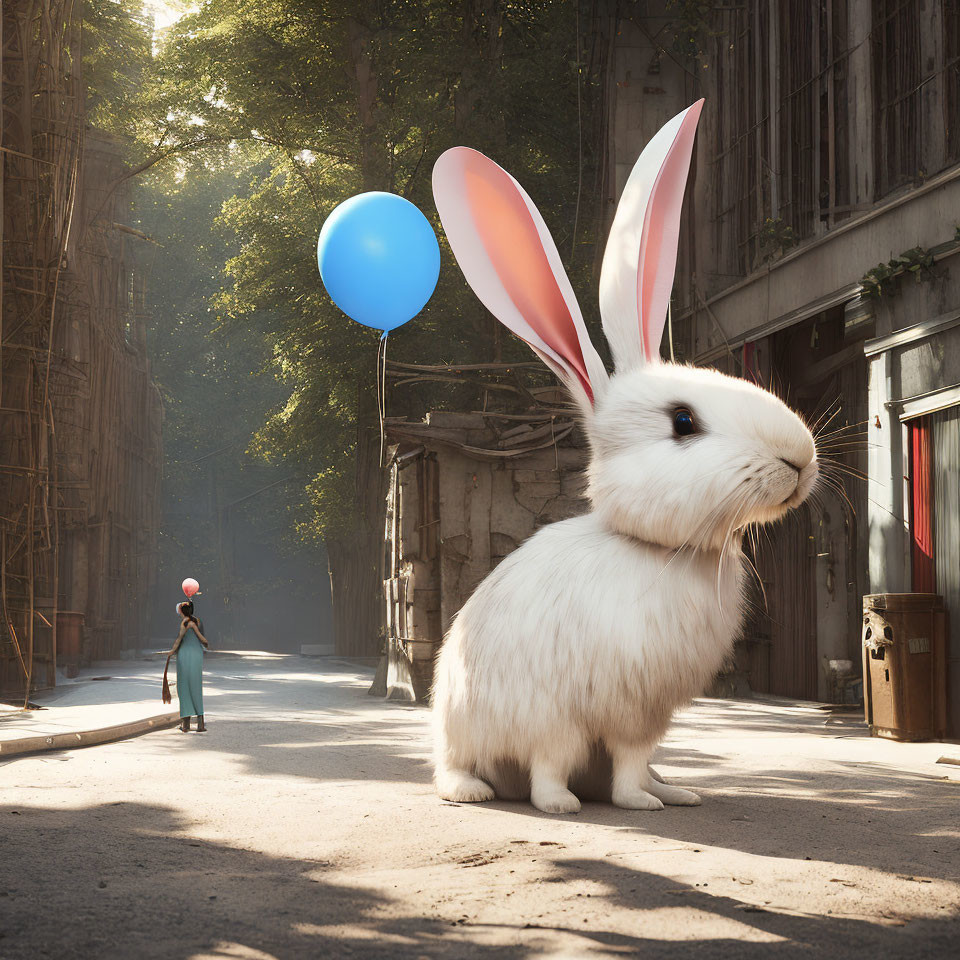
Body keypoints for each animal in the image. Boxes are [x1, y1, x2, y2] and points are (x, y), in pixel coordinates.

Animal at [432, 101, 812, 812]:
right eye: (683, 422)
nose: (801, 460)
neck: (657, 552)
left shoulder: (646, 717)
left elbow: (635, 762)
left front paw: (655, 798)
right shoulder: (562, 711)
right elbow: (553, 762)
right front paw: (567, 805)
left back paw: (673, 789)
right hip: (465, 729)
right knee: (463, 765)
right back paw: (474, 792)